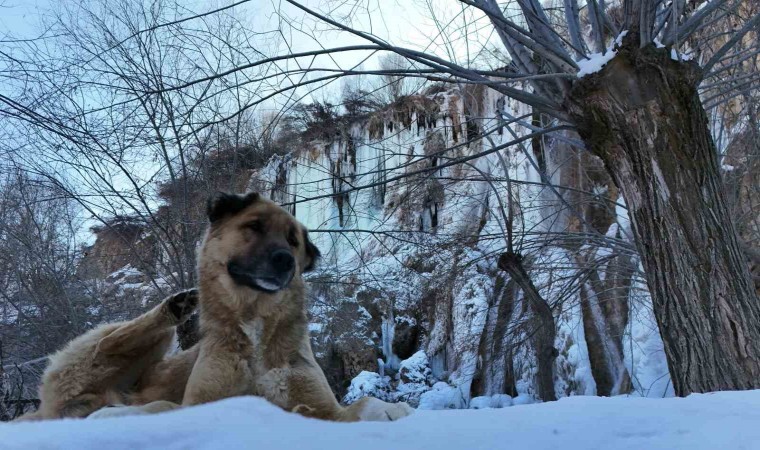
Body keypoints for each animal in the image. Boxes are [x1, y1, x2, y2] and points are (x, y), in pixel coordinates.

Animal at [182, 192, 412, 422]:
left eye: (292, 241)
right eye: (254, 226)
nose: (286, 260)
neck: (256, 314)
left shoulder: (323, 405)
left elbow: (365, 402)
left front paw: (394, 408)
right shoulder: (203, 398)